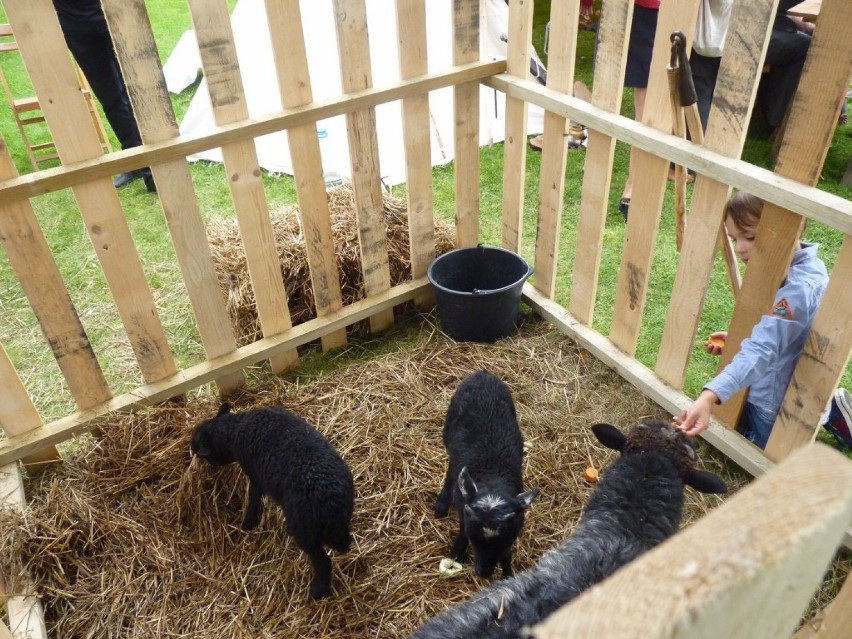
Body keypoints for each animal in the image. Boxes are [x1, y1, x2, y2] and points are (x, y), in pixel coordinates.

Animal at [190, 402, 352, 604]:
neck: (234, 429)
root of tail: (330, 499)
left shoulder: (254, 475)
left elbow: (253, 498)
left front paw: (247, 524)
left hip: (304, 530)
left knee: (323, 562)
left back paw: (316, 593)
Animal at [432, 368, 540, 584]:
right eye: (474, 537)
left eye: (507, 538)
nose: (484, 573)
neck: (492, 476)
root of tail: (483, 373)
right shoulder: (465, 509)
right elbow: (462, 531)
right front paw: (458, 554)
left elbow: (506, 554)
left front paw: (507, 575)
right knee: (451, 468)